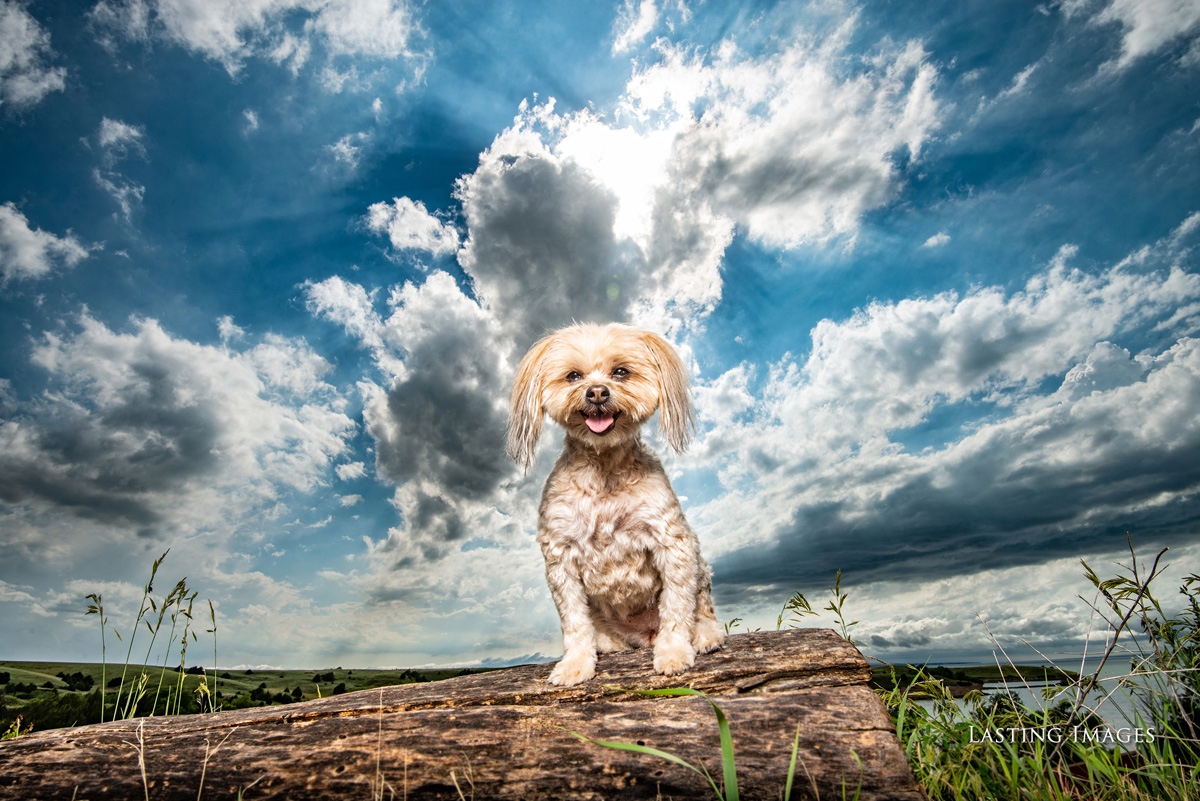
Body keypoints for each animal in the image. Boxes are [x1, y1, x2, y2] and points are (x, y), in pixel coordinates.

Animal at [504, 321, 720, 685]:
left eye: (620, 372)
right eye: (573, 376)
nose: (597, 392)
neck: (604, 471)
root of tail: (645, 635)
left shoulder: (673, 543)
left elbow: (677, 607)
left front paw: (674, 652)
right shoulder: (560, 558)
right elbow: (575, 622)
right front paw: (576, 663)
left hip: (700, 565)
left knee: (701, 606)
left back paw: (706, 635)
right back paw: (606, 644)